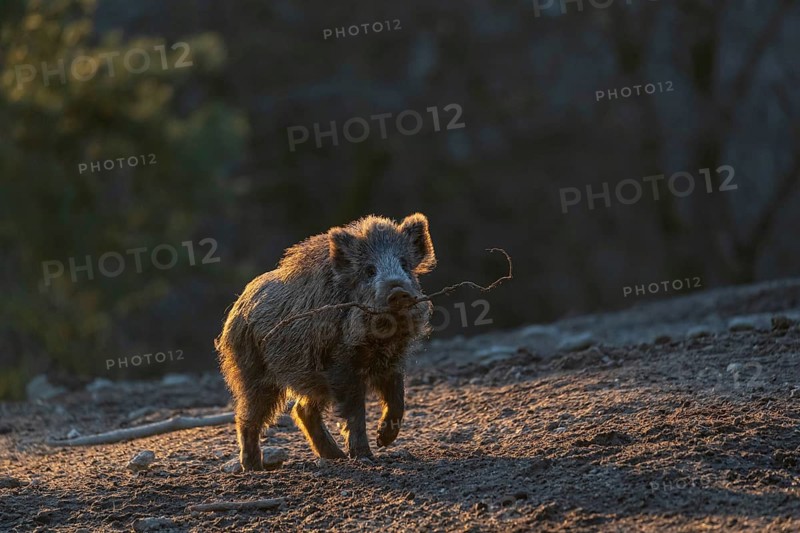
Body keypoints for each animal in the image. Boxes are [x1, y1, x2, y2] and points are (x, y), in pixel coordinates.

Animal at [216, 213, 436, 470]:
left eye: (404, 264)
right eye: (369, 270)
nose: (398, 291)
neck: (380, 340)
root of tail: (237, 305)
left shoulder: (392, 361)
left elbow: (397, 399)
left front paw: (383, 441)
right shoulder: (339, 365)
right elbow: (355, 411)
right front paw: (365, 455)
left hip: (310, 377)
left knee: (302, 410)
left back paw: (335, 456)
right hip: (253, 372)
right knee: (247, 417)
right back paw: (254, 468)